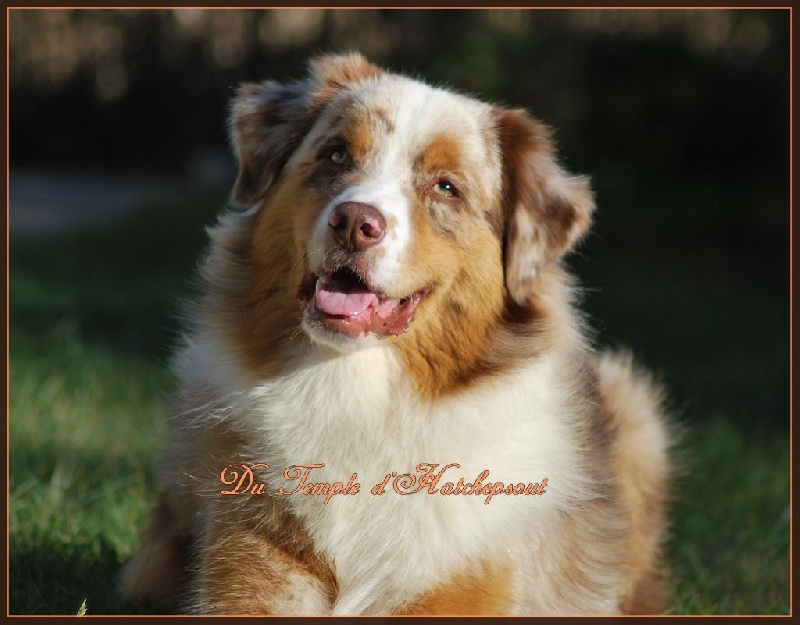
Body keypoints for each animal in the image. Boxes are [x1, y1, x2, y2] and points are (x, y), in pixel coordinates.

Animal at [117, 52, 668, 616]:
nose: (354, 222)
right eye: (336, 154)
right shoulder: (248, 558)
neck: (355, 392)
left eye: (446, 187)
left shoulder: (466, 581)